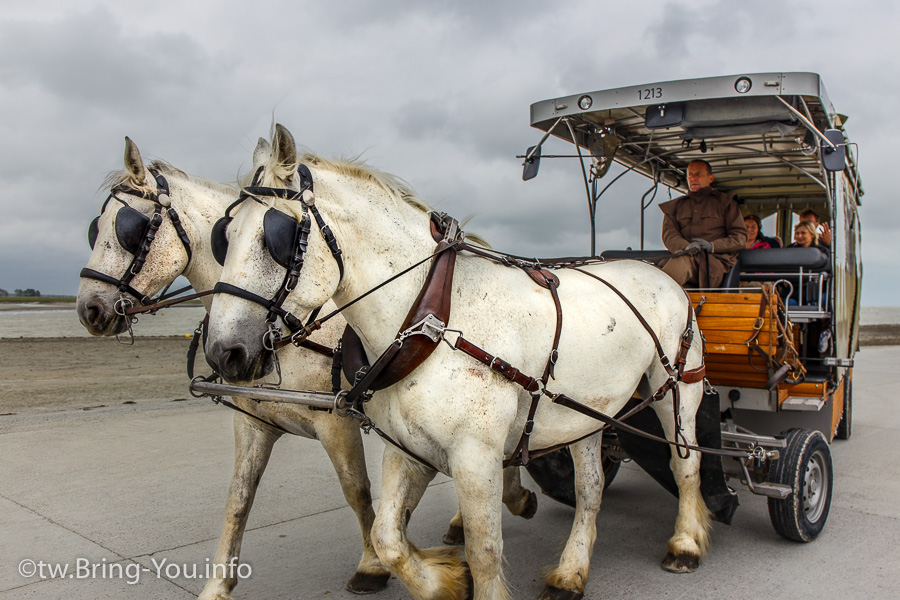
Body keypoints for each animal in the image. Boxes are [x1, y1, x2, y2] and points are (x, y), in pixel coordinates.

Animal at [204, 123, 712, 600]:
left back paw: (685, 544)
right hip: (585, 414)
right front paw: (445, 578)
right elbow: (388, 537)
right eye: (223, 238)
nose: (223, 352)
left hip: (678, 387)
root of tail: (655, 268)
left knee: (684, 461)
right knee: (591, 488)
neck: (433, 317)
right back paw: (570, 573)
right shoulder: (405, 447)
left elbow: (485, 550)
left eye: (276, 237)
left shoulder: (475, 455)